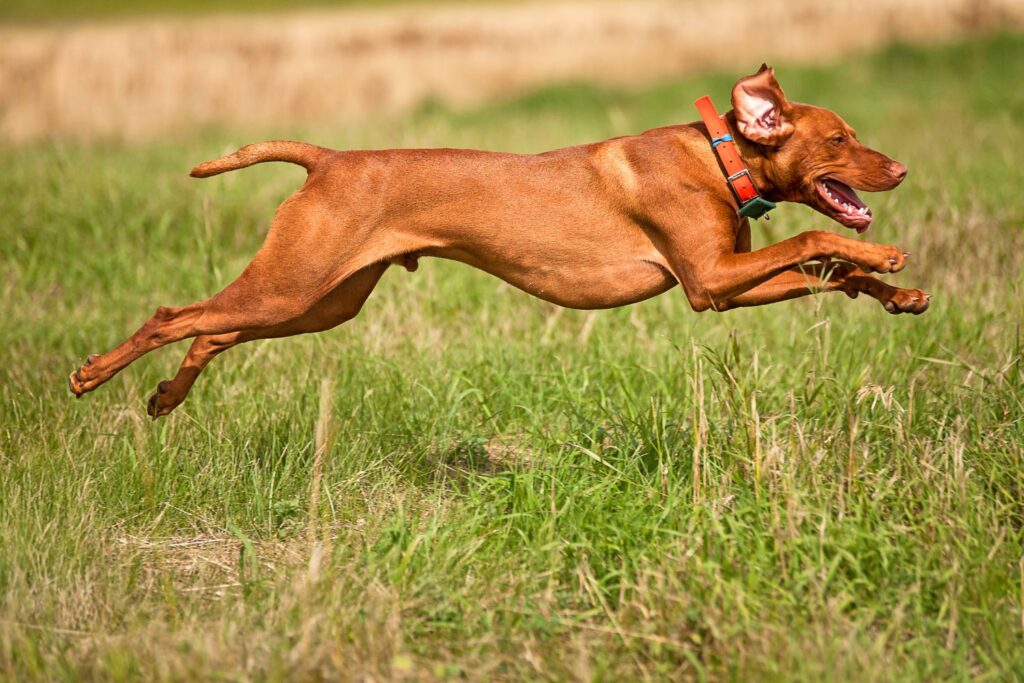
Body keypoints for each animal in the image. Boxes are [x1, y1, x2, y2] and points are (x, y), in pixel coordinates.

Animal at [64, 65, 929, 417]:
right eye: (841, 139)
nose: (902, 167)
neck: (718, 157)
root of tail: (330, 157)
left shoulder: (723, 286)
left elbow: (827, 266)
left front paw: (900, 292)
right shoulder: (711, 276)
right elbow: (818, 234)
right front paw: (887, 256)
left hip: (319, 300)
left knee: (213, 330)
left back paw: (167, 397)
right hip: (295, 283)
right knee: (176, 315)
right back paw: (91, 373)